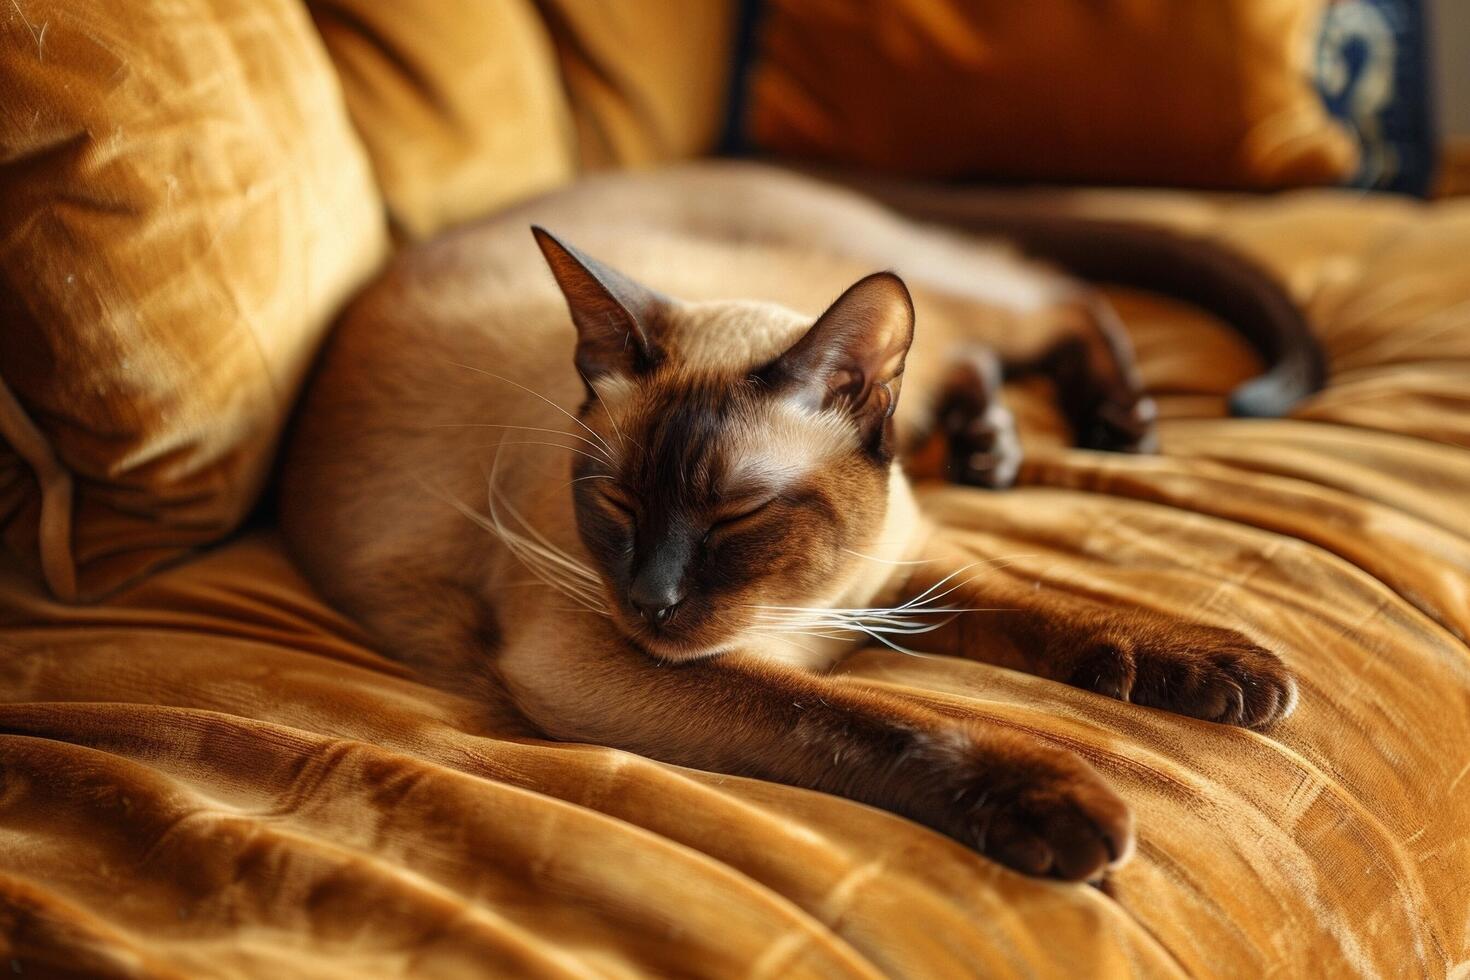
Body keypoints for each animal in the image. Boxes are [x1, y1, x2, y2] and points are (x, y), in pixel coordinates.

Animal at [280, 160, 1305, 881]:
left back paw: (1108, 429)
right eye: (615, 504)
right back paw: (999, 447)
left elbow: (1057, 606)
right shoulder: (600, 665)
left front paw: (1230, 671)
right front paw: (1061, 801)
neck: (809, 607)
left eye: (738, 516)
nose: (651, 601)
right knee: (1007, 327)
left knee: (1046, 303)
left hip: (914, 298)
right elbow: (871, 716)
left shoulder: (908, 571)